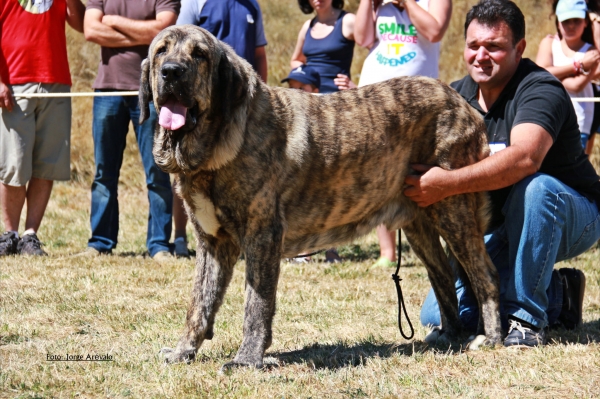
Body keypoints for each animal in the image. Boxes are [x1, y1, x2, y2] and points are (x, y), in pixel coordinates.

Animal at [141, 24, 502, 368]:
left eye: (199, 54)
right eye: (161, 51)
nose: (171, 71)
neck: (212, 146)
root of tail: (463, 104)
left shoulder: (262, 236)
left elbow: (256, 304)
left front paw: (247, 359)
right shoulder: (213, 244)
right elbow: (200, 303)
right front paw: (183, 351)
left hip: (453, 209)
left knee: (484, 271)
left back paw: (491, 338)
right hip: (419, 224)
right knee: (443, 276)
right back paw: (450, 337)